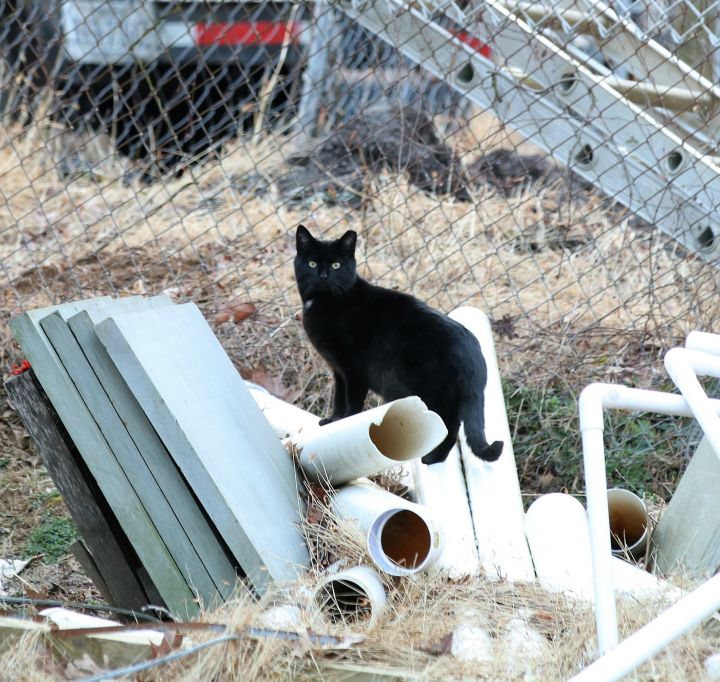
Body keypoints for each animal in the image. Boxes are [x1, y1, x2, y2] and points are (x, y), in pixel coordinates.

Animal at [292, 226, 500, 464]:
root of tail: (474, 354)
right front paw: (333, 421)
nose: (324, 276)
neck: (326, 301)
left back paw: (431, 459)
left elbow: (351, 404)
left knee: (449, 428)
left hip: (433, 395)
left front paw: (345, 423)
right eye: (312, 263)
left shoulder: (354, 371)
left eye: (336, 265)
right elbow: (338, 399)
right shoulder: (338, 369)